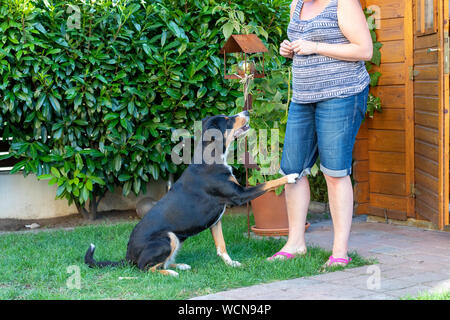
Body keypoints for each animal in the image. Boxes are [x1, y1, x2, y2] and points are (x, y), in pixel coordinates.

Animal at [85, 110, 298, 276]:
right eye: (228, 119)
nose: (246, 111)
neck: (211, 158)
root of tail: (128, 255)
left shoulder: (217, 219)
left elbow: (221, 246)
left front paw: (231, 264)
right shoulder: (240, 195)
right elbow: (267, 183)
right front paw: (290, 176)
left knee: (159, 263)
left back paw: (180, 265)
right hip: (168, 237)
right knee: (144, 267)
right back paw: (170, 272)